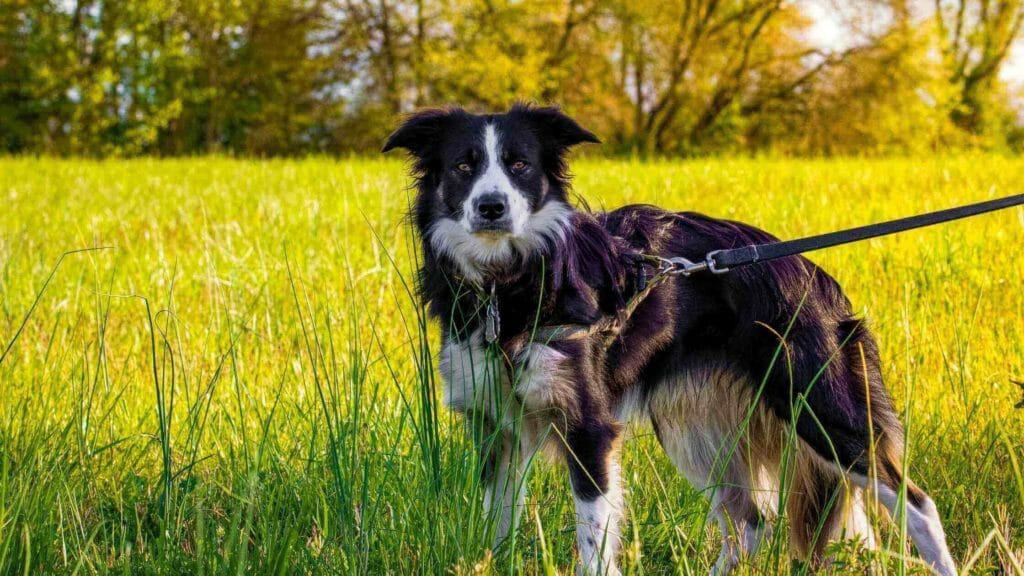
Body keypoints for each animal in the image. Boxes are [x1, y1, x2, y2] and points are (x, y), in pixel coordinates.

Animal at [380, 104, 954, 573]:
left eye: (519, 164)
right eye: (464, 166)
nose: (492, 207)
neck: (510, 285)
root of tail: (812, 273)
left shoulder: (589, 428)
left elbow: (593, 545)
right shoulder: (495, 427)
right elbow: (496, 530)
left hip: (819, 407)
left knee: (916, 504)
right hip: (695, 429)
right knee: (751, 524)